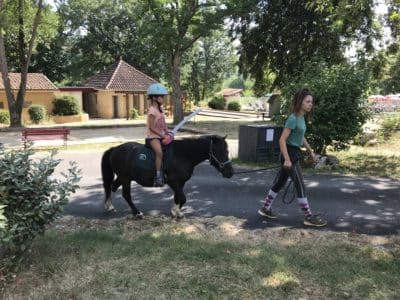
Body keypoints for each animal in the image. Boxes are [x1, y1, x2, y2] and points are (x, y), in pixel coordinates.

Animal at [100, 135, 233, 218]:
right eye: (221, 152)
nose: (230, 172)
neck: (183, 154)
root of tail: (114, 149)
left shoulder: (180, 183)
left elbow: (178, 197)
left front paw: (175, 212)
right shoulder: (173, 182)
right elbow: (183, 198)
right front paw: (176, 212)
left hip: (123, 177)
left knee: (112, 187)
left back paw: (110, 206)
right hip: (125, 178)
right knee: (126, 195)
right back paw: (137, 213)